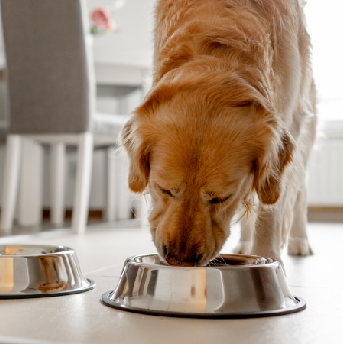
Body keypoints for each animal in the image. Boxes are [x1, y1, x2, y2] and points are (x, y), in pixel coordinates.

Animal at [121, 0, 318, 268]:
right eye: (164, 189)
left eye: (221, 198)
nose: (180, 260)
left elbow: (270, 208)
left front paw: (269, 256)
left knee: (299, 191)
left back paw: (300, 240)